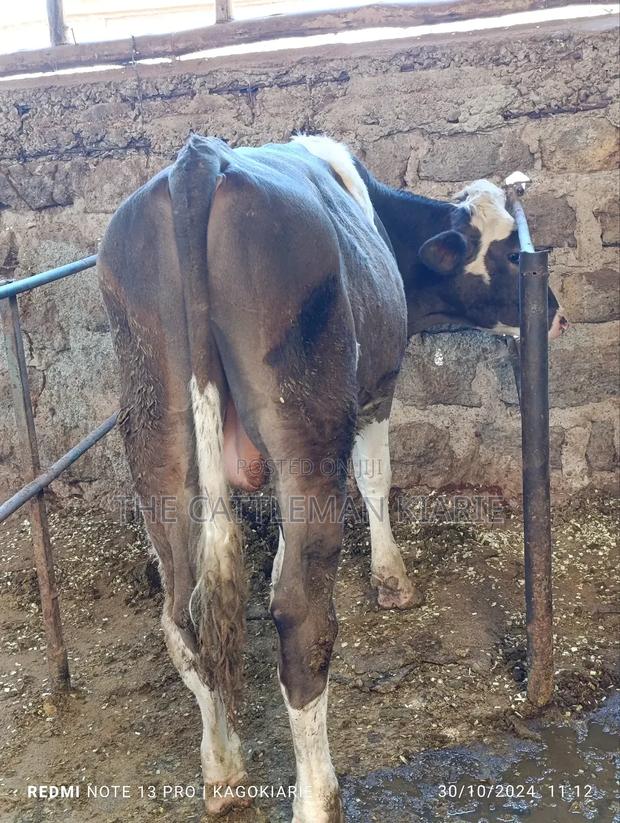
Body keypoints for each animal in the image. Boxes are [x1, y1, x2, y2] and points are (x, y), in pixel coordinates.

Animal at [98, 133, 566, 822]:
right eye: (512, 252)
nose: (556, 314)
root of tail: (197, 161)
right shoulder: (376, 391)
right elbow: (375, 480)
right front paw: (393, 581)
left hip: (156, 435)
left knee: (182, 612)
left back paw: (223, 770)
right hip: (308, 422)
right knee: (302, 618)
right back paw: (319, 796)